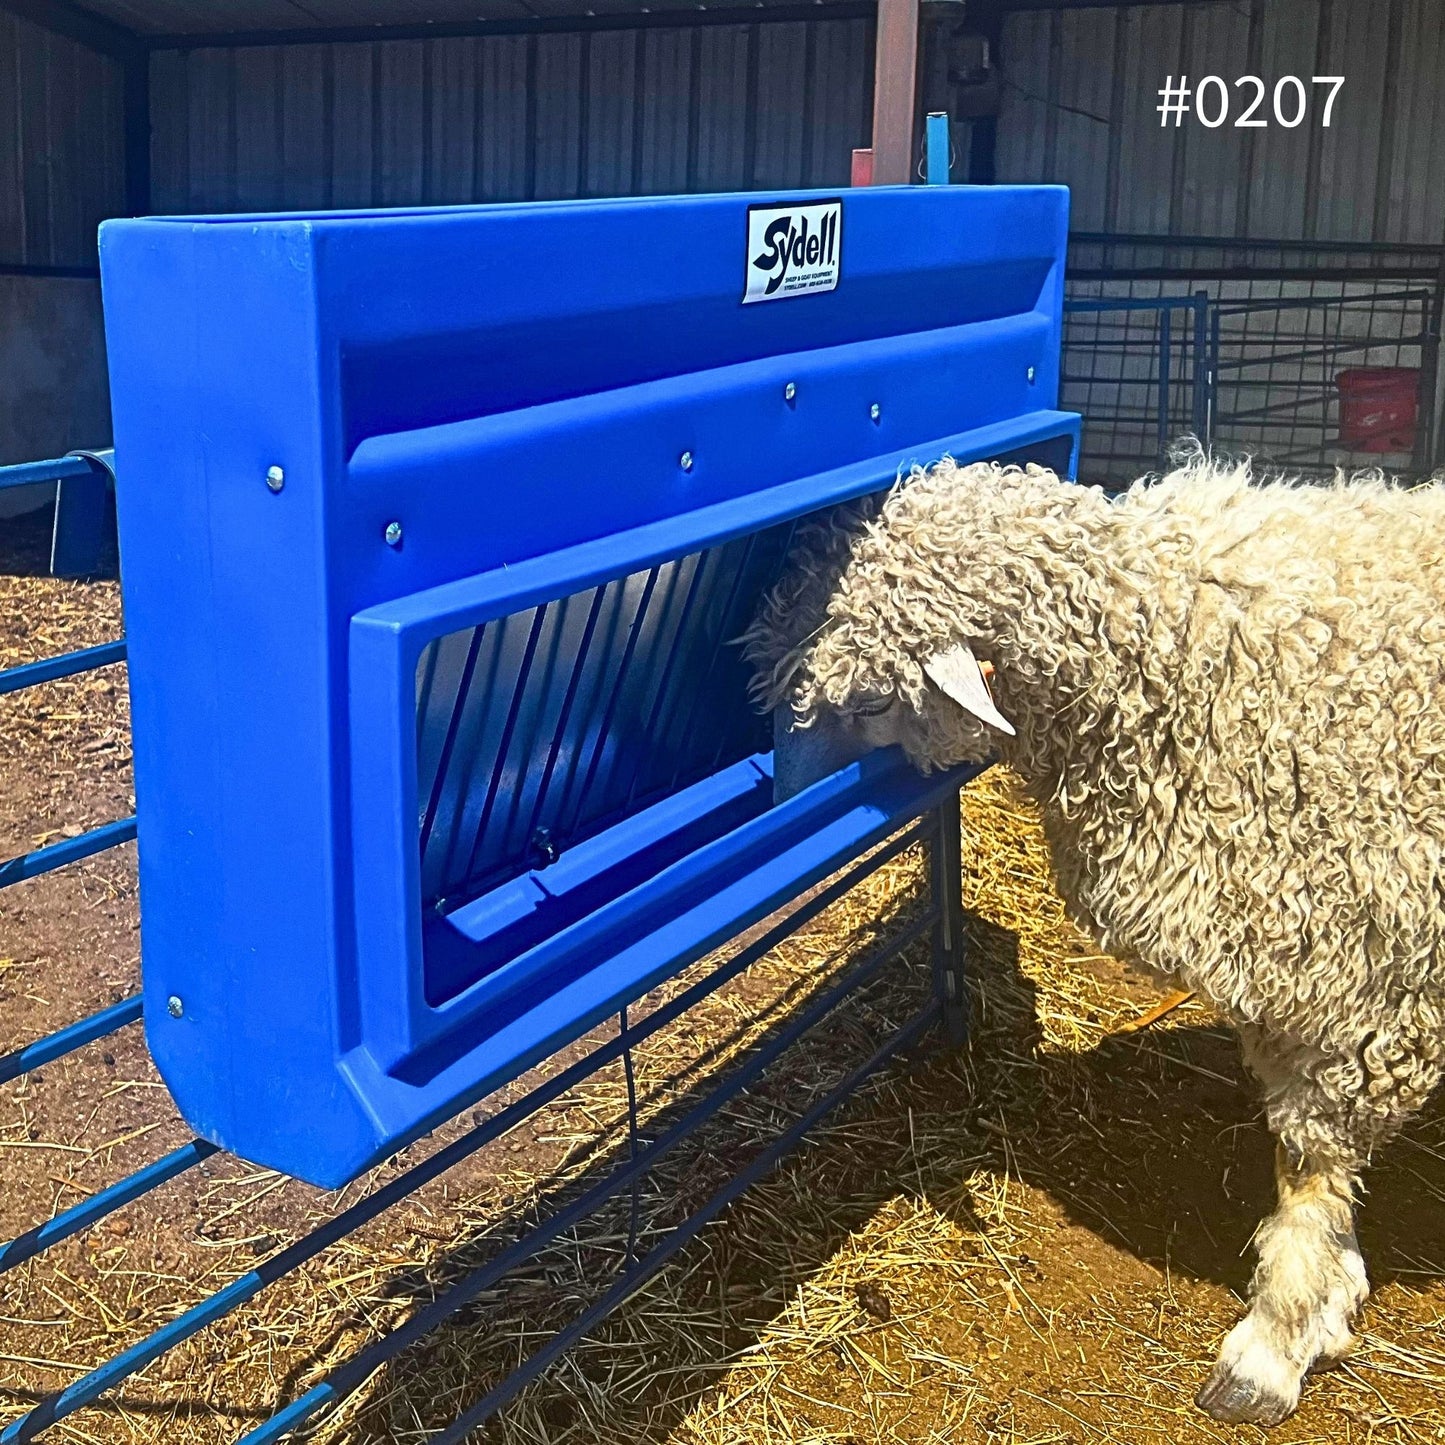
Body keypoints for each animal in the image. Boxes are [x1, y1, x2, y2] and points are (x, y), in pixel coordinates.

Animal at [740, 451, 1445, 1426]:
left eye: (876, 697)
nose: (778, 827)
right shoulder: (1288, 963)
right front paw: (1333, 1293)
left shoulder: (1362, 978)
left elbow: (1307, 1169)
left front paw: (1273, 1341)